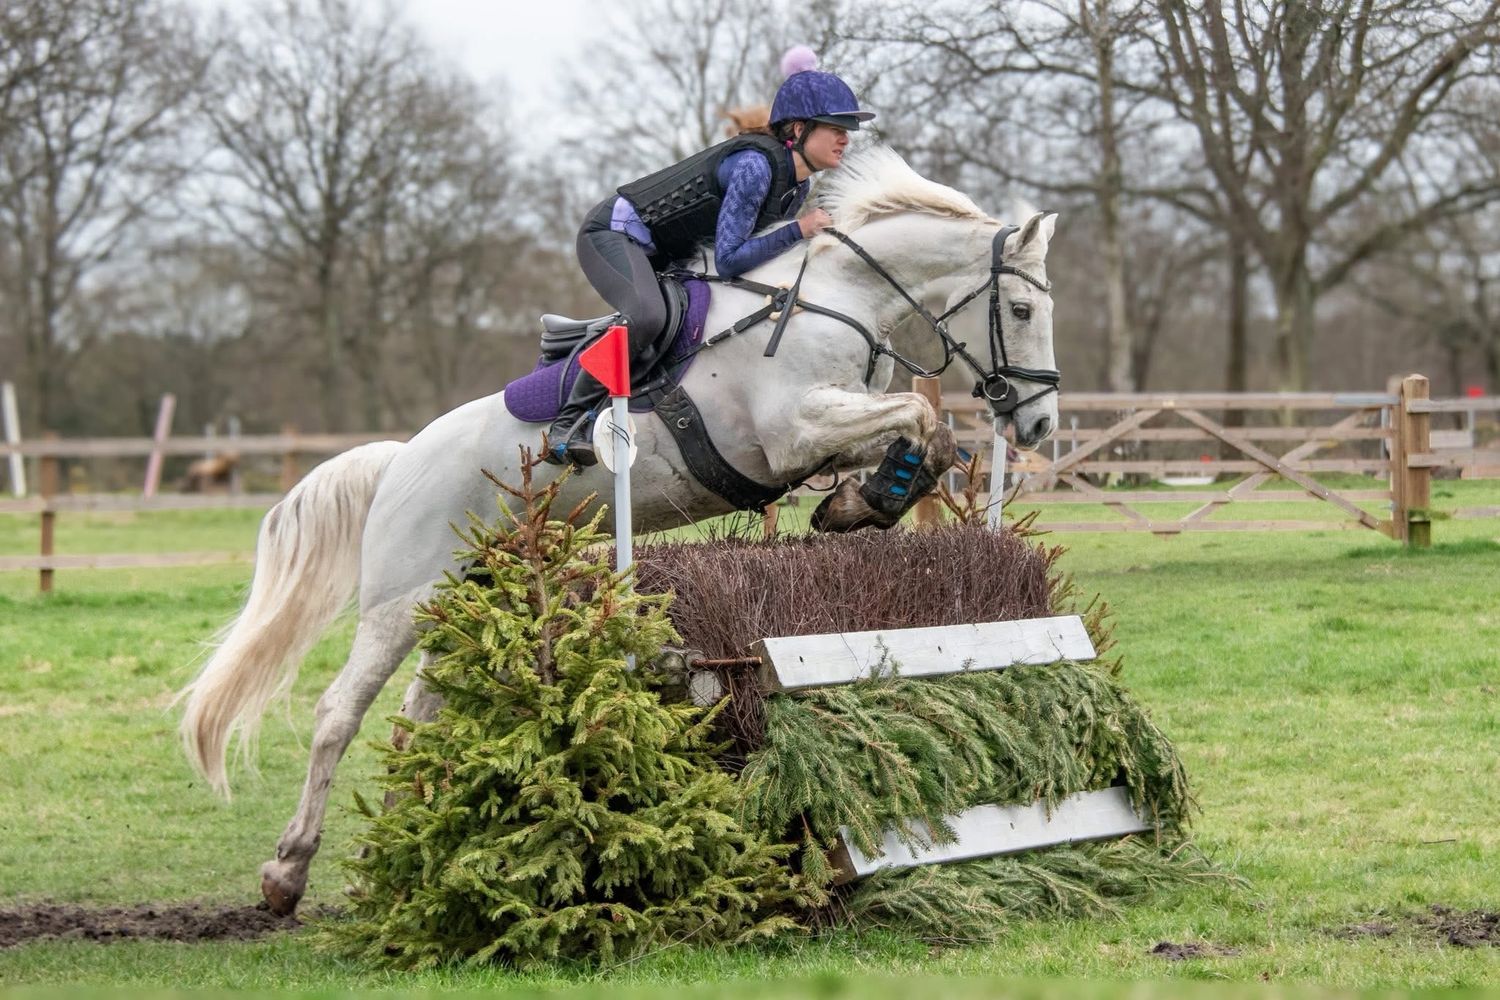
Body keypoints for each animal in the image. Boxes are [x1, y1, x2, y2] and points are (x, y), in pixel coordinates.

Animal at [177, 147, 1061, 915]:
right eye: (1020, 309)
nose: (1041, 424)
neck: (833, 299)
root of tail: (399, 460)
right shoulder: (790, 433)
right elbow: (916, 413)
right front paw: (865, 501)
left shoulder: (826, 430)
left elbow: (923, 433)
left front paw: (861, 504)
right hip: (404, 595)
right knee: (339, 713)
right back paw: (288, 873)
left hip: (464, 594)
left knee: (414, 716)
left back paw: (390, 853)